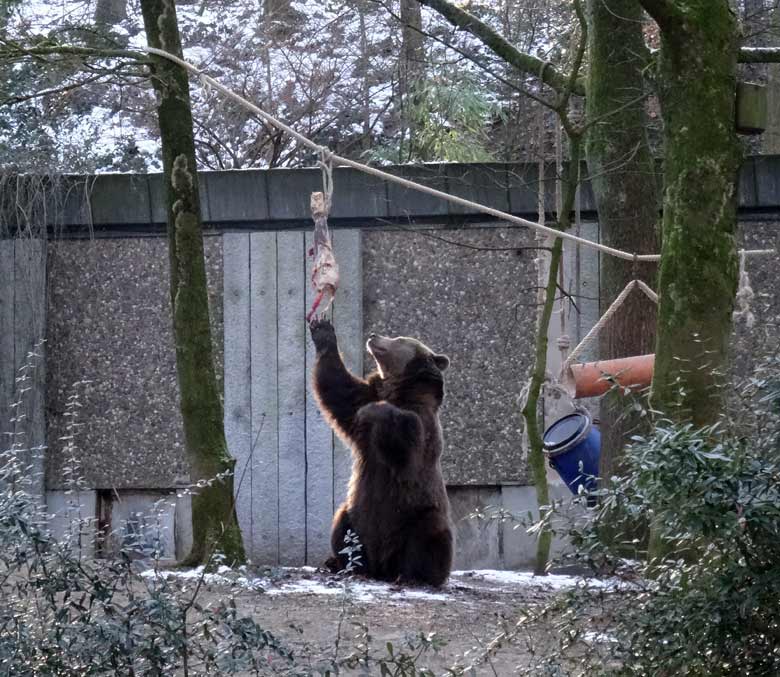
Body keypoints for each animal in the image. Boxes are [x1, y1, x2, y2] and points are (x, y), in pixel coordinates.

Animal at [310, 318, 454, 588]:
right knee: (342, 524)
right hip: (357, 515)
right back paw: (344, 564)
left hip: (415, 514)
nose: (373, 335)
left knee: (428, 537)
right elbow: (337, 387)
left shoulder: (422, 430)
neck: (398, 389)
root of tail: (383, 564)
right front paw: (322, 331)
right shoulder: (360, 397)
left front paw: (375, 411)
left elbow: (403, 442)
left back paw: (414, 575)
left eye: (399, 338)